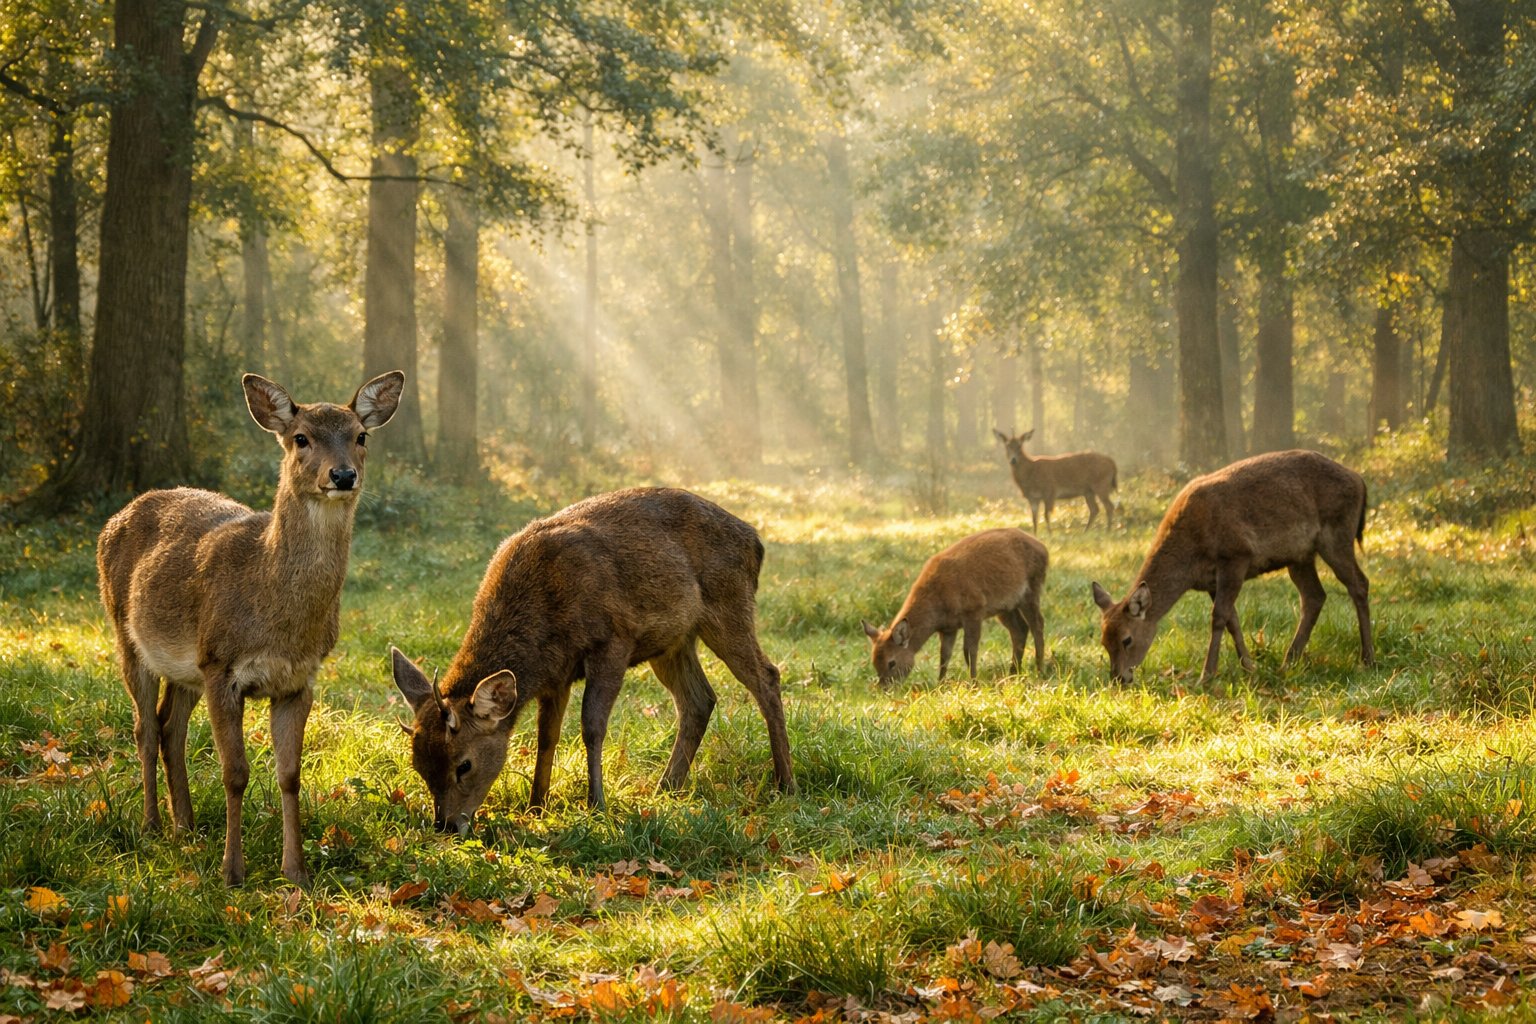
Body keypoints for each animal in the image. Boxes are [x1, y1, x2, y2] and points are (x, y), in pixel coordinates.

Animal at [97, 370, 404, 886]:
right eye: (300, 438)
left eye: (361, 436)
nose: (343, 475)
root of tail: (114, 519)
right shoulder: (222, 664)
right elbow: (235, 772)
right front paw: (232, 871)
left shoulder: (298, 678)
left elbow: (290, 774)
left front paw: (295, 871)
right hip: (127, 633)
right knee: (144, 727)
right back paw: (152, 825)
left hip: (188, 666)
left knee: (169, 727)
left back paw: (187, 826)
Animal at [390, 487, 795, 835]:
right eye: (418, 765)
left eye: (464, 764)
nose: (445, 824)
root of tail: (756, 541)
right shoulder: (555, 674)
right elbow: (547, 736)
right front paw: (536, 805)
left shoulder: (613, 640)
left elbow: (592, 726)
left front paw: (596, 804)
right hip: (674, 642)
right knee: (699, 700)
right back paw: (666, 787)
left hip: (729, 606)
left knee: (767, 677)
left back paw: (785, 783)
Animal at [861, 528, 1048, 687]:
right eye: (874, 662)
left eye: (892, 662)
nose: (884, 688)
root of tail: (1044, 549)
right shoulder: (948, 628)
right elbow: (944, 655)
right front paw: (940, 685)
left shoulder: (974, 609)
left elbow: (969, 650)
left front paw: (973, 683)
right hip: (1006, 607)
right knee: (1020, 629)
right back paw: (1013, 674)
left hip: (1031, 590)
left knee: (1037, 624)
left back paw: (1039, 671)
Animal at [1091, 449, 1374, 686]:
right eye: (1103, 640)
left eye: (1127, 639)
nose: (1119, 677)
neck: (1191, 558)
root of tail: (1360, 481)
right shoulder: (1211, 580)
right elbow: (1232, 620)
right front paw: (1250, 667)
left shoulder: (1236, 555)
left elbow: (1218, 617)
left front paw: (1206, 676)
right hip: (1300, 556)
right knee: (1314, 596)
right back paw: (1288, 662)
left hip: (1336, 534)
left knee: (1359, 583)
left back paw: (1367, 658)